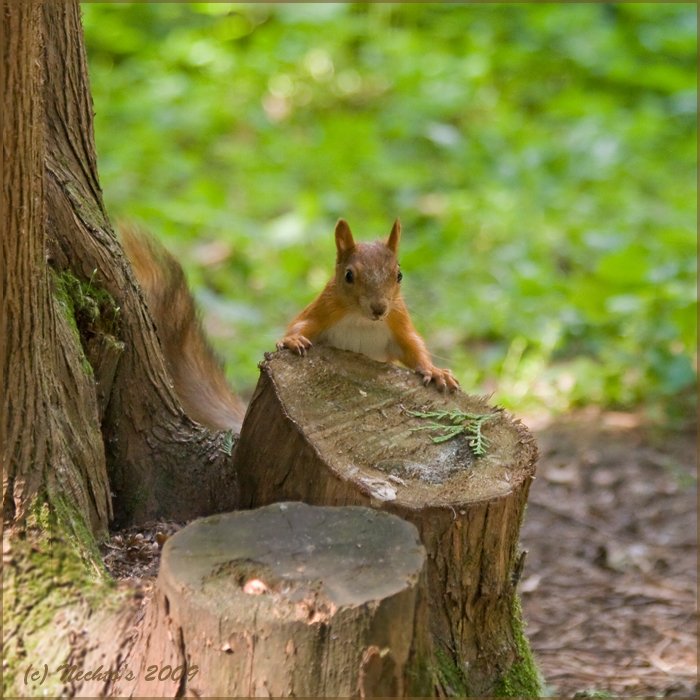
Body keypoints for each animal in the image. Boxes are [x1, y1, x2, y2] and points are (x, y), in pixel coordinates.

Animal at [278, 219, 460, 392]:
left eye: (399, 275)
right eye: (348, 275)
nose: (379, 309)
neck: (361, 319)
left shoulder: (397, 318)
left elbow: (413, 346)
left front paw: (436, 371)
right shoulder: (324, 308)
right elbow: (301, 324)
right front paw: (293, 339)